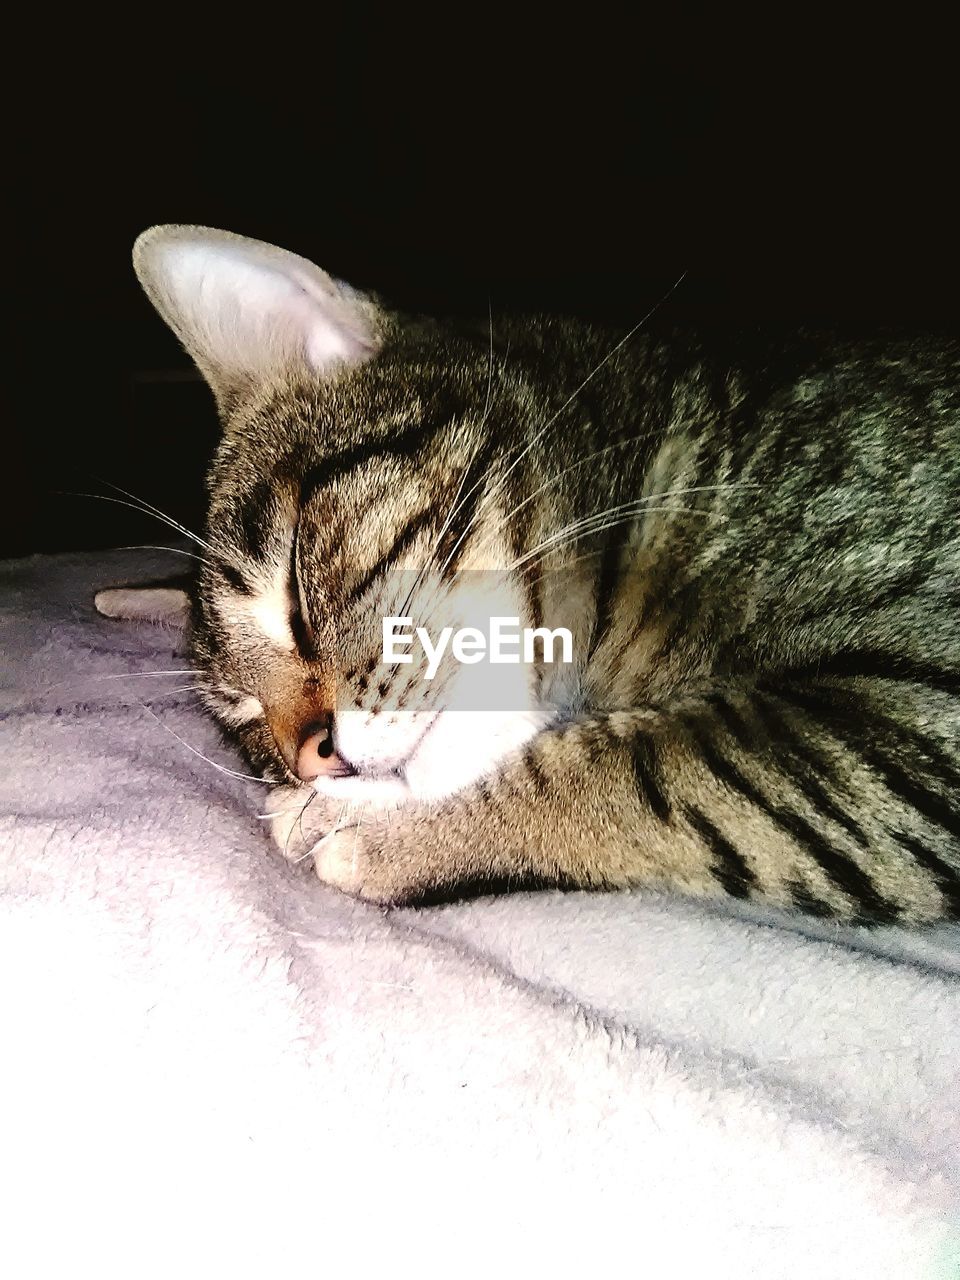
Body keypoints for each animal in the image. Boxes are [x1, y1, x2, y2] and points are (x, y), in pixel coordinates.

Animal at [104, 222, 960, 921]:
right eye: (244, 718)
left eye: (290, 587)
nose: (312, 757)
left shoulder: (917, 703)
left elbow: (654, 763)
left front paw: (366, 824)